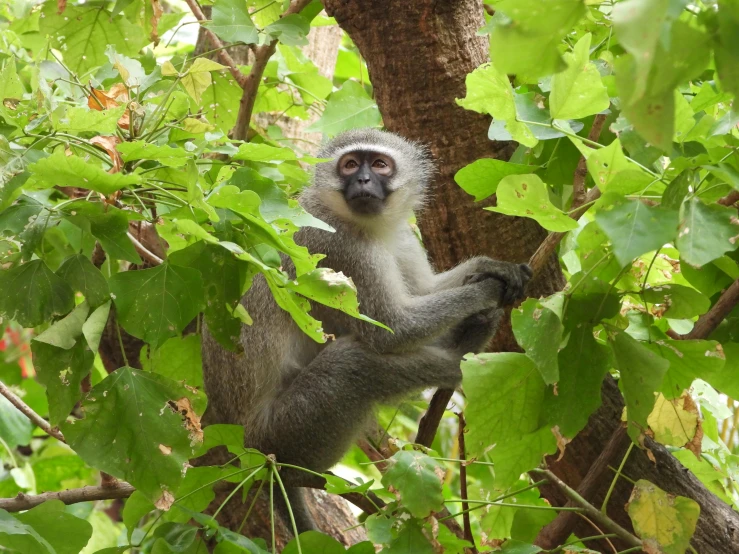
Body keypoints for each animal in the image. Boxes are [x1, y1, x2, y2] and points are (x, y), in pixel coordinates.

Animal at [202, 128, 532, 532]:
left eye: (378, 164)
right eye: (349, 165)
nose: (362, 181)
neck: (371, 227)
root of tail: (248, 453)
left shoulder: (402, 238)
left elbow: (421, 293)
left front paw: (490, 267)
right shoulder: (339, 246)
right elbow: (392, 329)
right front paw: (485, 293)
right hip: (286, 434)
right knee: (352, 363)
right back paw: (460, 363)